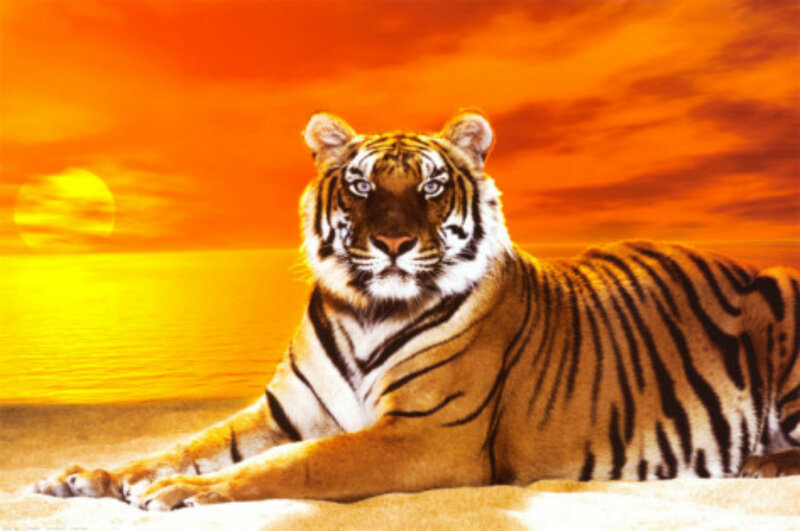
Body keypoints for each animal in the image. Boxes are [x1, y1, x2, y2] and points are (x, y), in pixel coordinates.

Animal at [35, 111, 800, 510]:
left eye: (431, 186)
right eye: (361, 184)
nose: (395, 243)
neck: (366, 310)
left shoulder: (427, 434)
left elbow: (299, 463)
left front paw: (178, 493)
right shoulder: (282, 411)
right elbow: (185, 443)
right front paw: (90, 476)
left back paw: (760, 465)